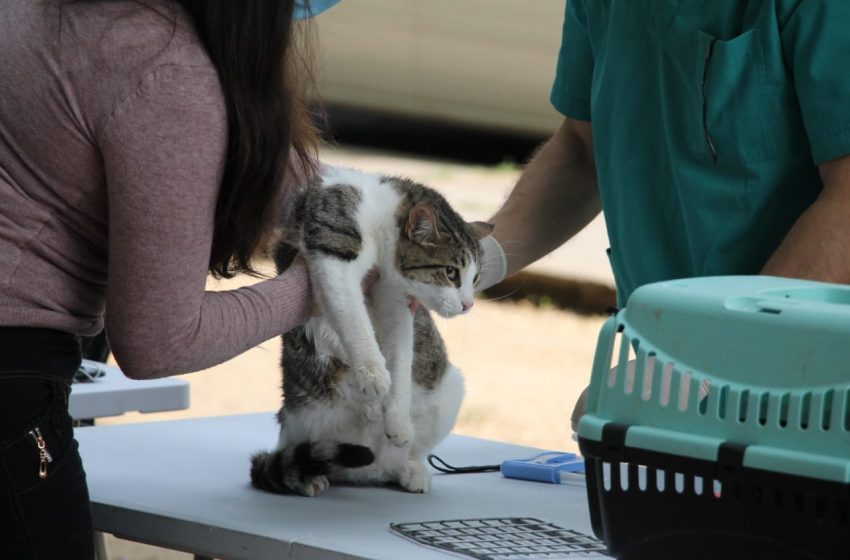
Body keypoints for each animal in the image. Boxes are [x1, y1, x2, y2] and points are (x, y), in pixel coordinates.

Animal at [248, 165, 494, 494]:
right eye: (451, 272)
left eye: (475, 278)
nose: (468, 304)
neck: (379, 217)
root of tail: (367, 468)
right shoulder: (334, 251)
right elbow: (354, 319)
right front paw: (373, 375)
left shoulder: (397, 299)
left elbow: (401, 357)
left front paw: (398, 419)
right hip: (301, 417)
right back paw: (306, 476)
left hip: (449, 389)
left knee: (407, 454)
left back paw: (409, 468)